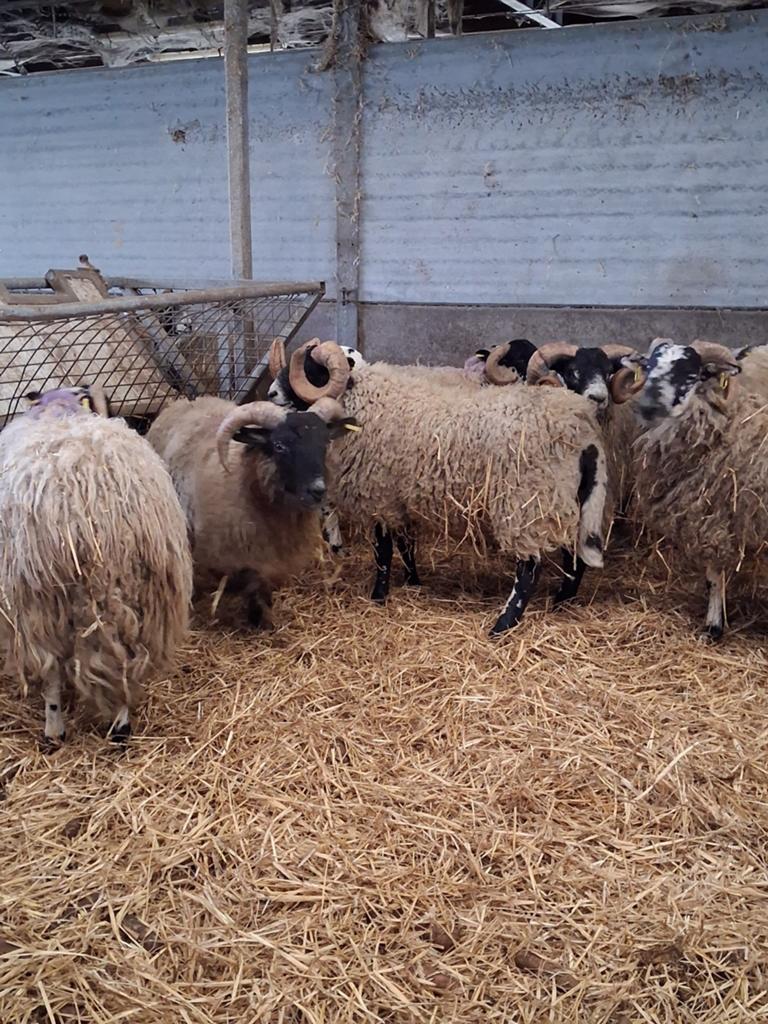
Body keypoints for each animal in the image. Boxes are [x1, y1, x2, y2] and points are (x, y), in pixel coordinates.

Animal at [0, 385, 192, 747]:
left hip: (38, 603)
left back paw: (54, 730)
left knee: (50, 670)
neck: (61, 411)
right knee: (124, 661)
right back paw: (120, 726)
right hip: (140, 592)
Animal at [147, 351, 360, 628]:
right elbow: (247, 582)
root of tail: (183, 403)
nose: (318, 490)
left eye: (324, 443)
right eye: (279, 445)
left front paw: (262, 617)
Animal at [287, 344, 610, 635]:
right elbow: (406, 544)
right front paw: (412, 581)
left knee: (529, 568)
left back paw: (503, 624)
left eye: (310, 371)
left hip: (526, 500)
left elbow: (383, 550)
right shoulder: (399, 496)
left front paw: (379, 595)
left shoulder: (379, 493)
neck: (363, 400)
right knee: (574, 556)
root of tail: (585, 433)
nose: (277, 400)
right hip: (567, 498)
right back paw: (561, 601)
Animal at [630, 338, 768, 639]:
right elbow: (714, 575)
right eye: (648, 366)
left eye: (691, 375)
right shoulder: (714, 514)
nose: (646, 406)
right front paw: (714, 625)